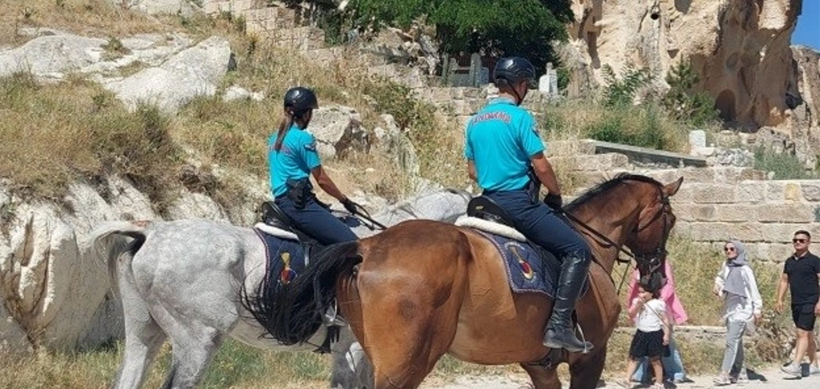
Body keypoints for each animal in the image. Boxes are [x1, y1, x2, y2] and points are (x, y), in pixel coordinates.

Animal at [247, 174, 684, 386]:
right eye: (671, 219)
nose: (655, 277)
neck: (589, 246)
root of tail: (365, 248)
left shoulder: (540, 365)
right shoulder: (589, 358)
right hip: (405, 364)